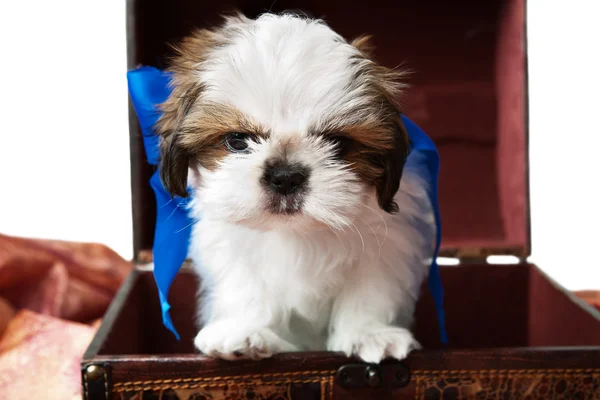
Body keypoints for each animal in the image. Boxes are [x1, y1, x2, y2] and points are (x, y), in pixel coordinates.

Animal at [155, 12, 436, 364]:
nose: (285, 176)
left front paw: (368, 333)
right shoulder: (232, 249)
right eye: (237, 141)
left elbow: (369, 290)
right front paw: (245, 331)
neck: (296, 231)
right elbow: (246, 287)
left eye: (337, 143)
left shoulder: (387, 247)